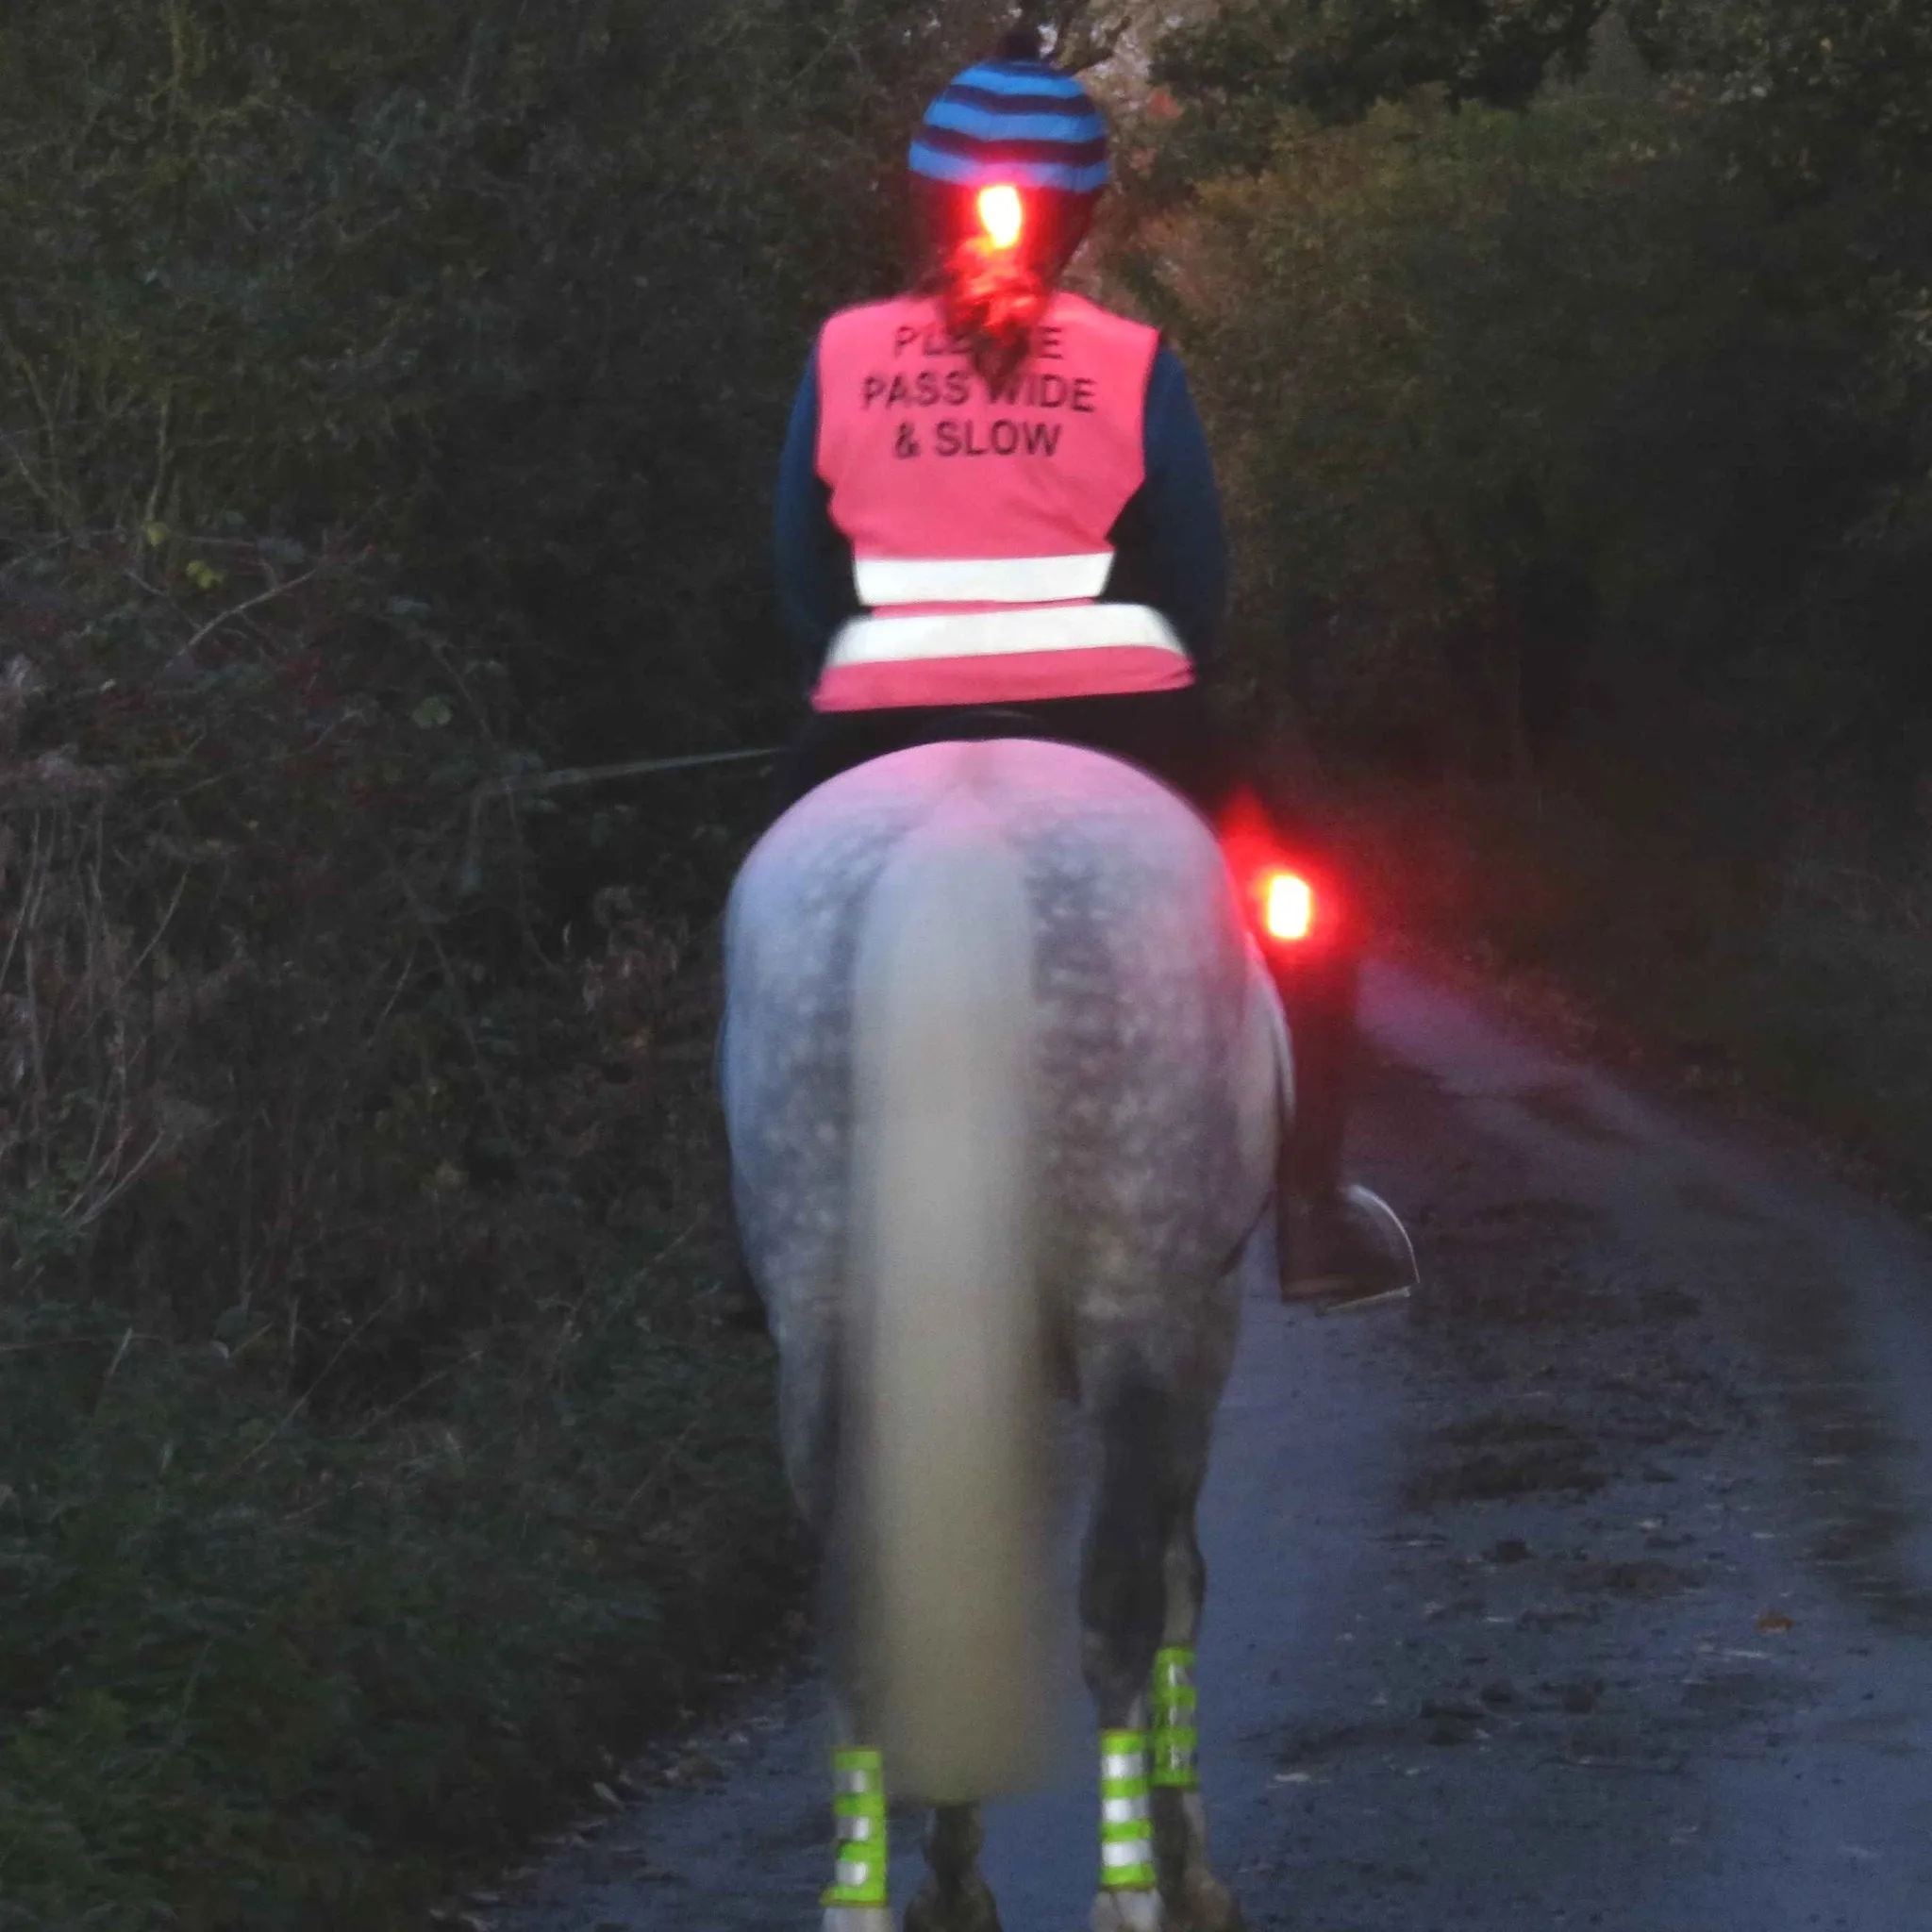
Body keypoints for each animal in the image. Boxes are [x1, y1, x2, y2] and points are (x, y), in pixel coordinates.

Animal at [718, 738, 1291, 1932]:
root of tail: (962, 828)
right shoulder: (1190, 1340)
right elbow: (1177, 1581)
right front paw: (1189, 1869)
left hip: (823, 1331)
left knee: (862, 1614)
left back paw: (894, 1896)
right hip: (1138, 1312)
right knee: (1118, 1604)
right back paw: (1129, 1895)